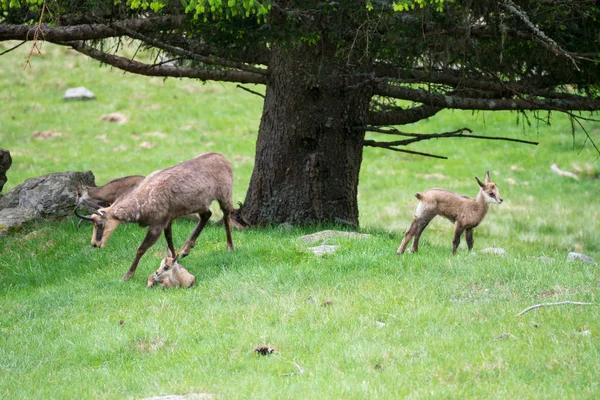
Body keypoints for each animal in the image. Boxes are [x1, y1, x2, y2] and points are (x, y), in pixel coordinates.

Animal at [75, 153, 234, 282]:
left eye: (99, 224)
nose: (95, 244)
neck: (145, 198)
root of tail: (223, 159)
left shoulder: (157, 225)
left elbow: (141, 248)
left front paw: (127, 276)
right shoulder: (167, 220)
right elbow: (169, 239)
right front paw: (174, 259)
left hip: (224, 196)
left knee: (227, 215)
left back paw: (230, 247)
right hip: (200, 204)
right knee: (207, 215)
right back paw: (185, 249)